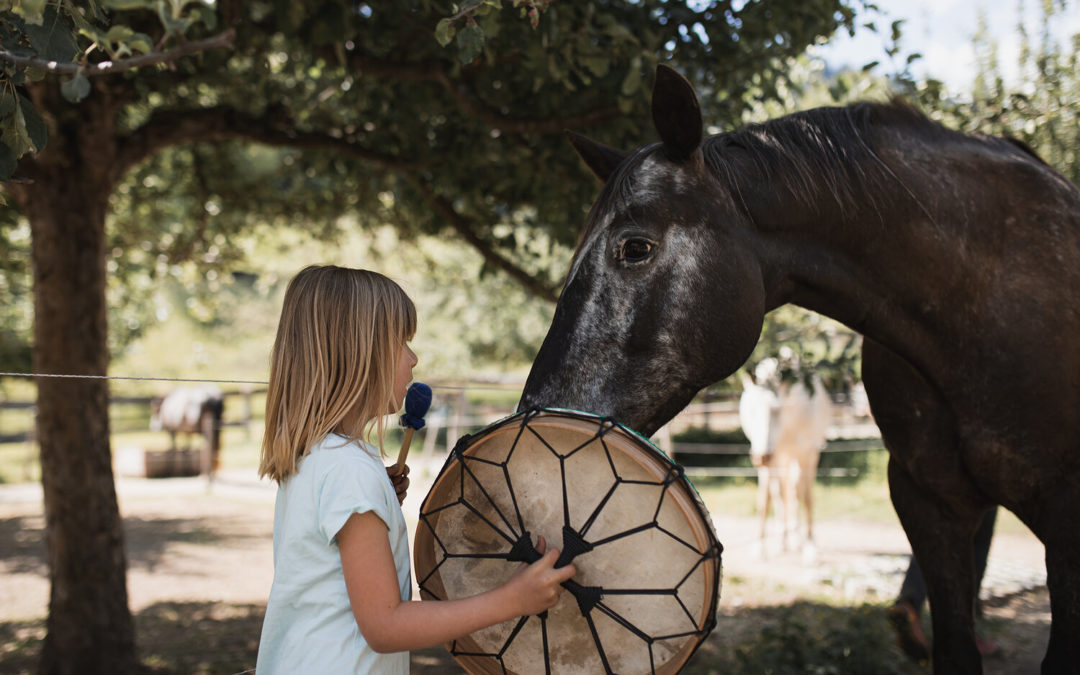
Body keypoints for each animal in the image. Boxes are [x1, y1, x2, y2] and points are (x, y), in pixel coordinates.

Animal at [738, 356, 829, 561]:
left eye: (776, 410)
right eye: (750, 409)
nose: (761, 456)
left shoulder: (808, 455)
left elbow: (806, 497)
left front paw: (810, 547)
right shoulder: (770, 461)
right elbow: (764, 501)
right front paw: (760, 546)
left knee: (796, 492)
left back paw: (795, 537)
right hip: (780, 461)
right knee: (780, 493)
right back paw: (784, 536)